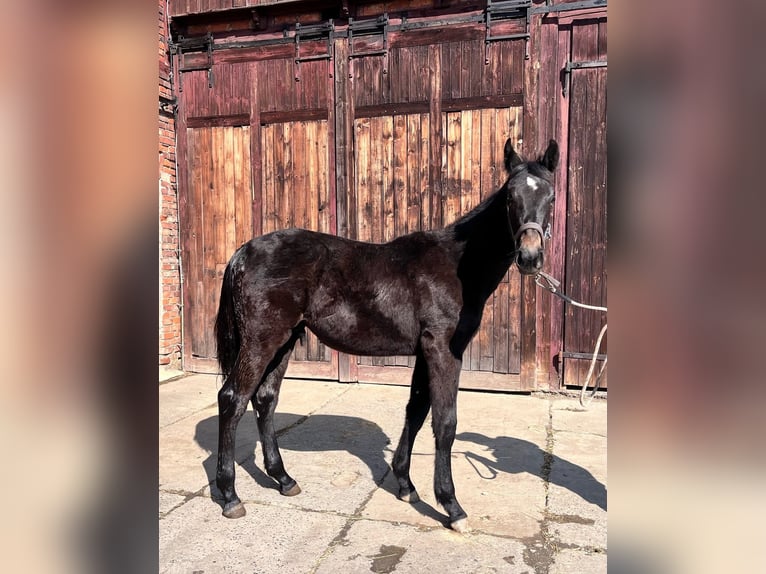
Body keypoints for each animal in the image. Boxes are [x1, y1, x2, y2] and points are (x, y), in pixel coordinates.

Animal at [214, 138, 559, 532]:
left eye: (551, 196)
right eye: (510, 198)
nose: (530, 257)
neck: (457, 267)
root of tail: (241, 253)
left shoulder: (425, 352)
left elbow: (417, 410)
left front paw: (406, 485)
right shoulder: (443, 349)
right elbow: (445, 421)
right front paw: (452, 506)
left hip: (285, 340)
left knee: (265, 399)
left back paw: (283, 479)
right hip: (261, 340)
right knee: (233, 398)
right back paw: (230, 496)